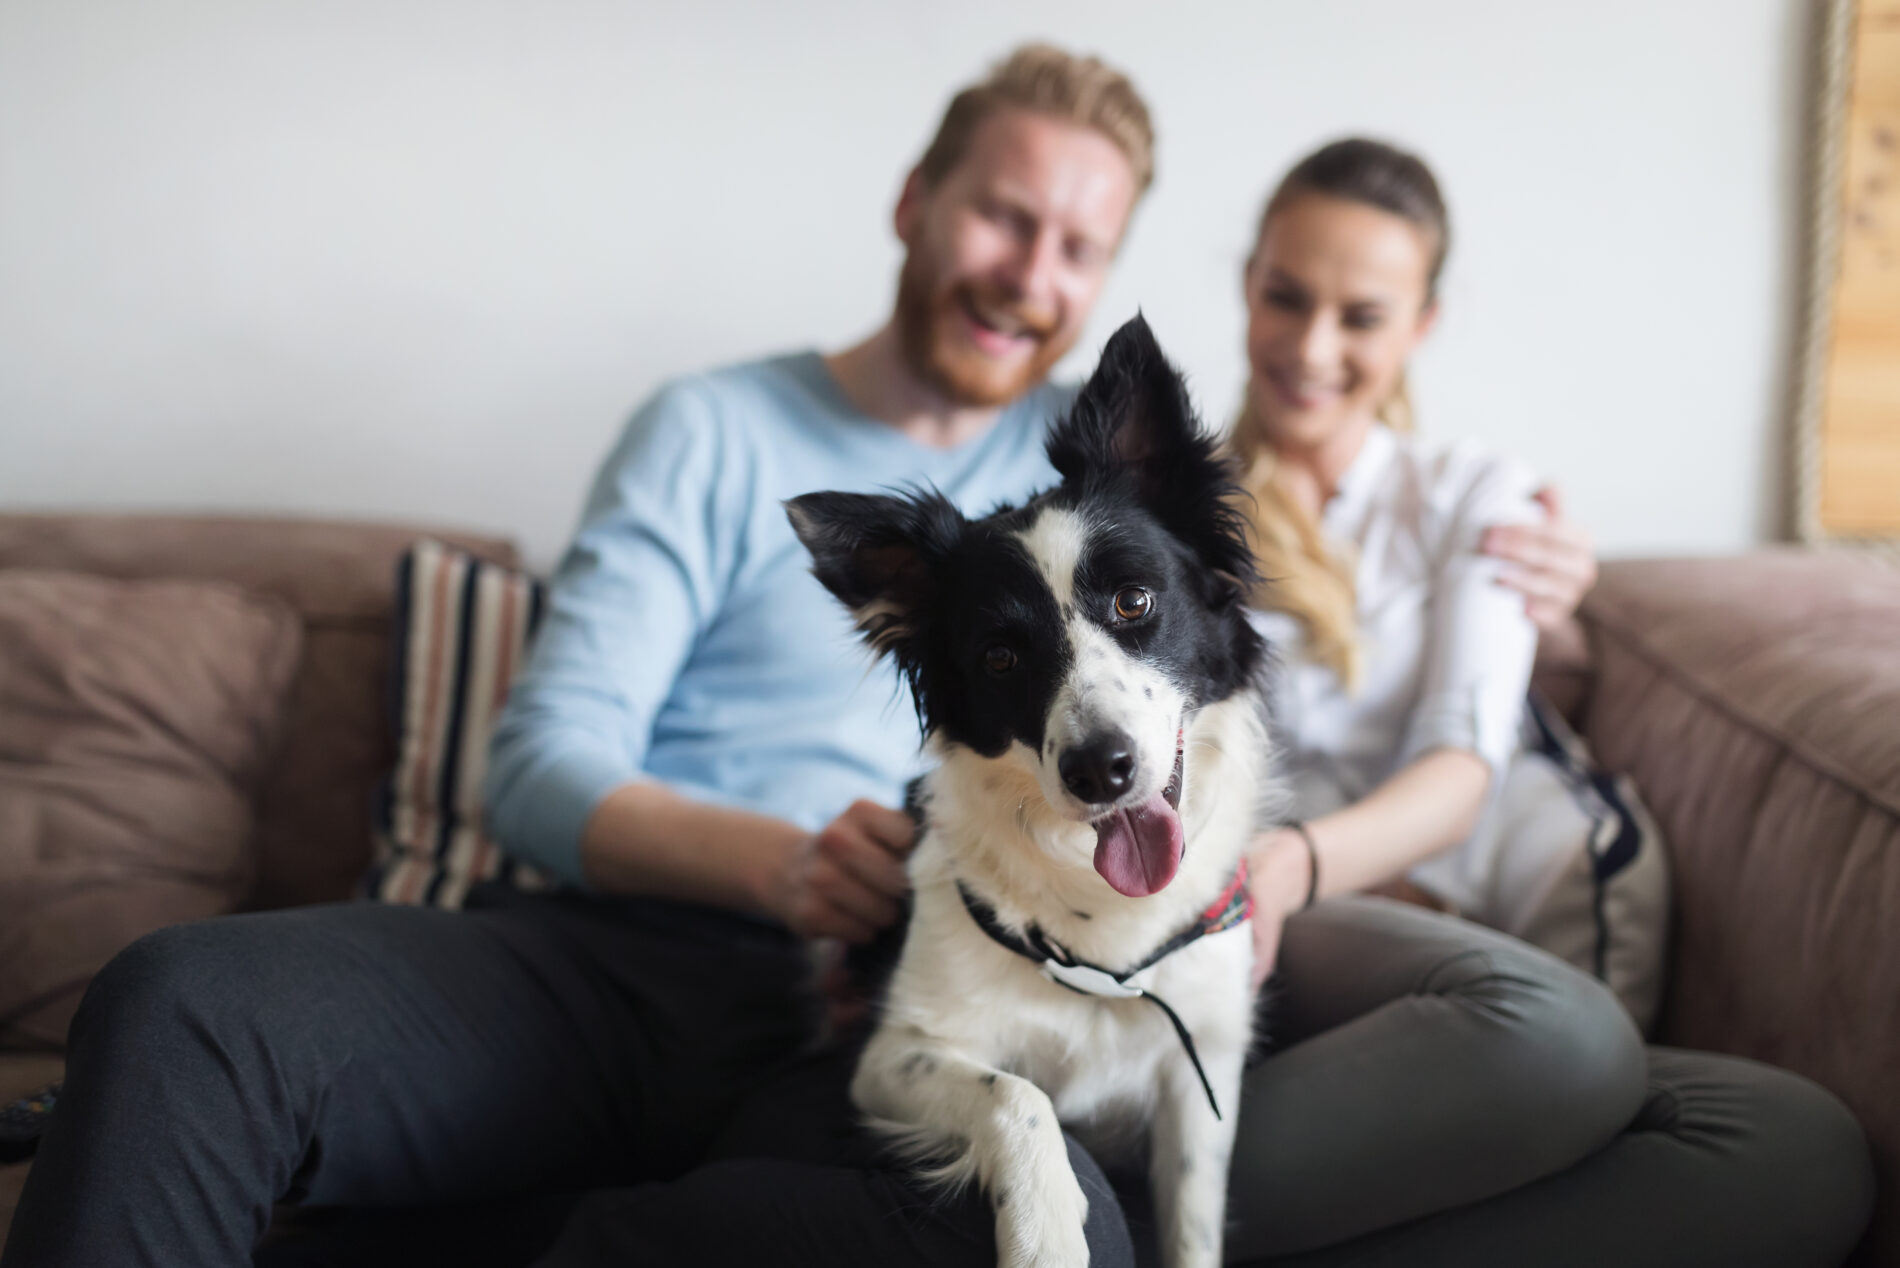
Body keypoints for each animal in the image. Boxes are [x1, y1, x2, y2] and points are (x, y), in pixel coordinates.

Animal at [786, 315, 1276, 1268]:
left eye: (1134, 601)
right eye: (1001, 658)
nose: (1099, 769)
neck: (1104, 931)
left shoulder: (1200, 1074)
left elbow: (1193, 1222)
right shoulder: (894, 1055)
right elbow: (1020, 1096)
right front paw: (1046, 1231)